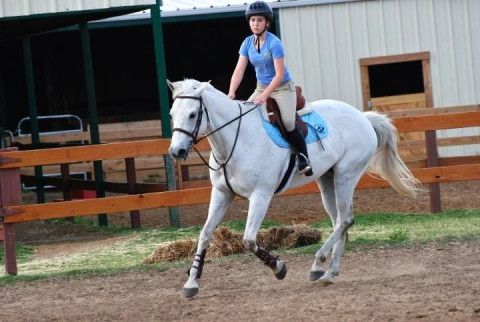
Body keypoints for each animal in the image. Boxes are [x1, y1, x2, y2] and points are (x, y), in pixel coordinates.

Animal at [168, 78, 420, 296]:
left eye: (192, 114)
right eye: (172, 114)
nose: (176, 152)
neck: (234, 142)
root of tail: (362, 117)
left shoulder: (261, 196)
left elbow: (249, 240)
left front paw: (278, 267)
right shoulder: (222, 194)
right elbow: (205, 234)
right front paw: (191, 282)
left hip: (346, 176)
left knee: (345, 220)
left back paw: (318, 264)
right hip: (327, 181)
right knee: (340, 221)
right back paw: (329, 272)